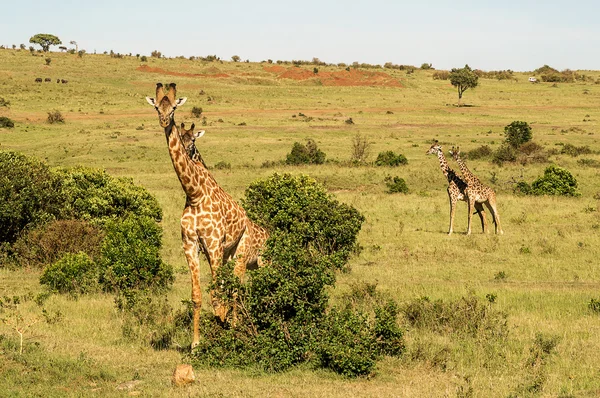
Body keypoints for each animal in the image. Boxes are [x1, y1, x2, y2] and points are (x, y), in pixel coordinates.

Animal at [145, 82, 268, 346]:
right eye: (157, 106)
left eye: (173, 107)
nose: (163, 121)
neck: (194, 194)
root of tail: (247, 218)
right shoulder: (190, 244)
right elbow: (197, 296)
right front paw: (195, 344)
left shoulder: (212, 244)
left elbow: (216, 295)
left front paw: (221, 333)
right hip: (227, 255)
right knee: (230, 288)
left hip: (238, 252)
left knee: (233, 288)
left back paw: (234, 326)